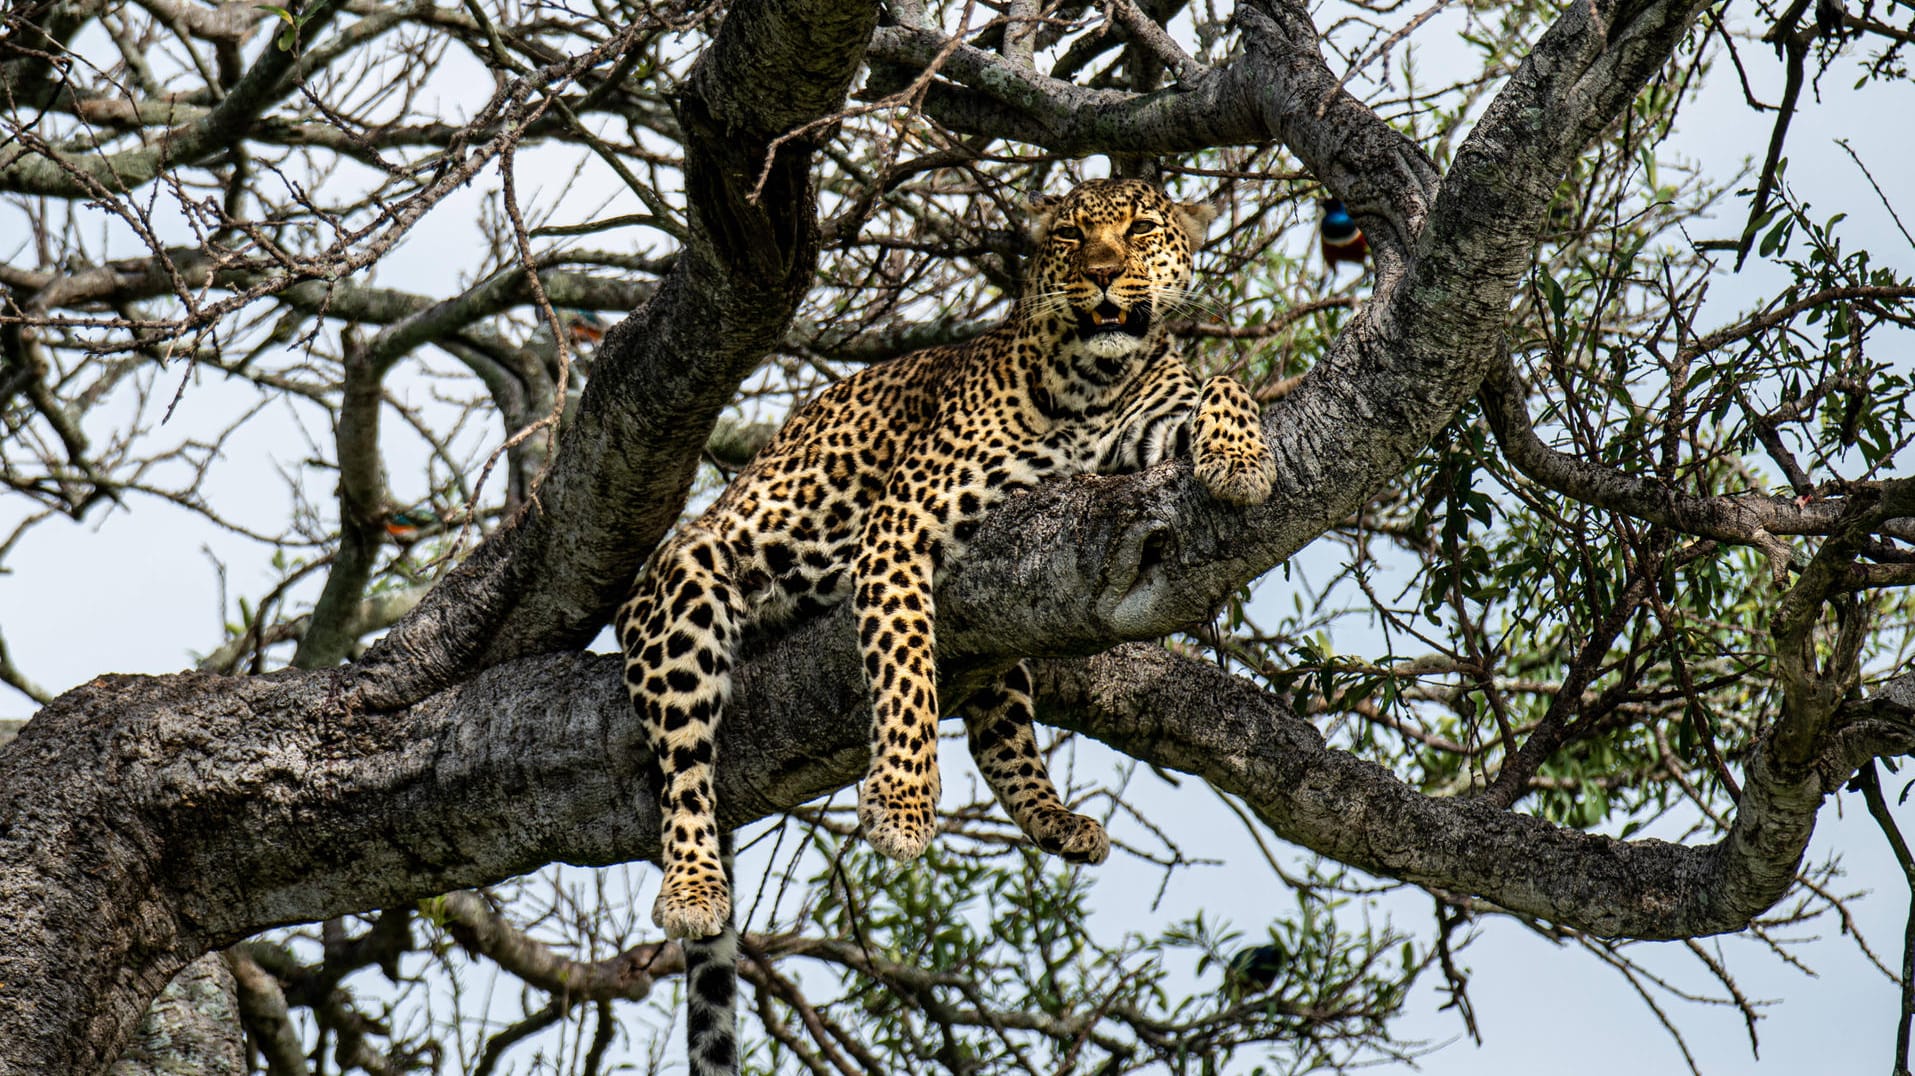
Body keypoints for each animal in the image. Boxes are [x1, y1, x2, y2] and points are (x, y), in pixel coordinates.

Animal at [612, 176, 1271, 1064]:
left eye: (1138, 231)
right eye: (1071, 236)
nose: (1101, 274)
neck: (1092, 387)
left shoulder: (1150, 425)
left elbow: (1224, 383)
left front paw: (1240, 458)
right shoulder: (899, 527)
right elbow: (904, 673)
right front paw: (900, 803)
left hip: (1003, 635)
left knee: (1005, 727)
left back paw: (1054, 818)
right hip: (686, 584)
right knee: (685, 767)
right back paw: (690, 885)